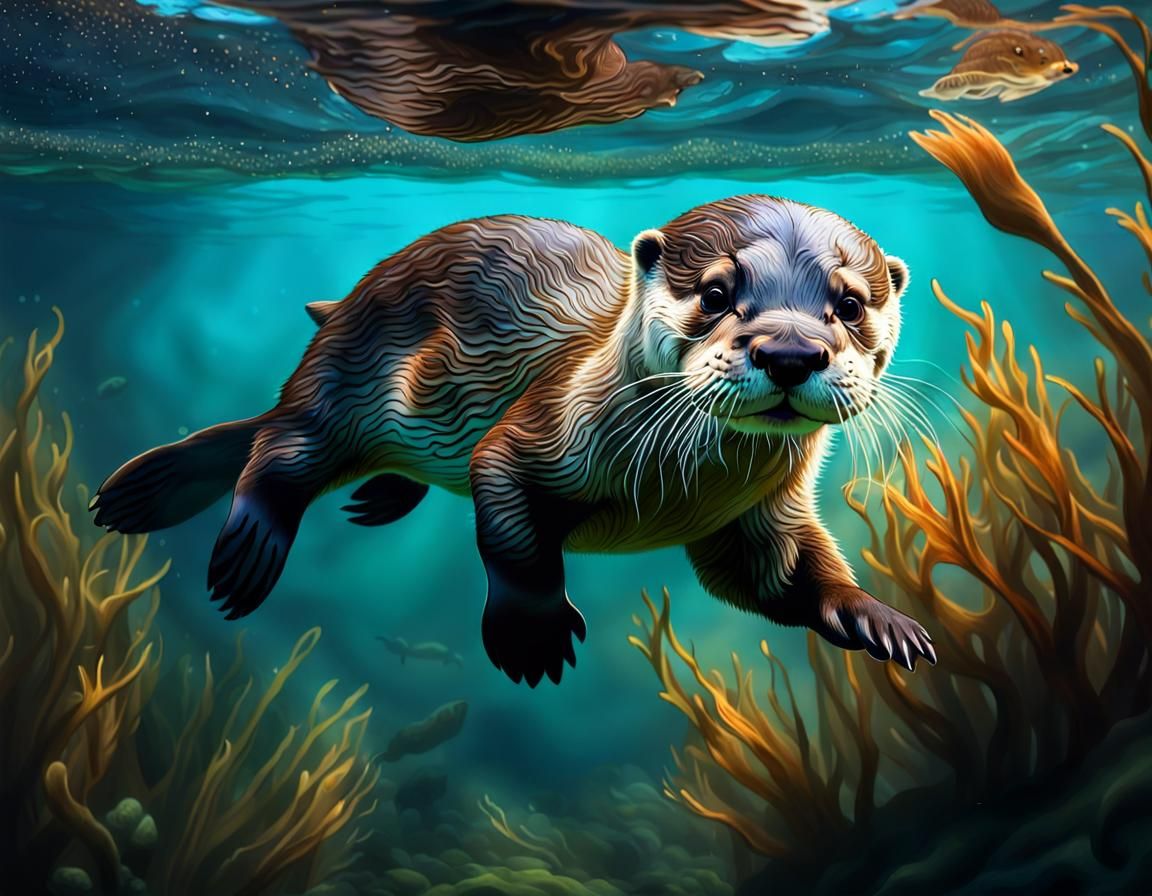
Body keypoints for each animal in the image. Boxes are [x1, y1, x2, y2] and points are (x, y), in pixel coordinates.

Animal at [92, 196, 936, 686]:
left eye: (850, 304)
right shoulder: (536, 434)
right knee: (275, 447)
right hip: (345, 380)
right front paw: (531, 633)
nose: (790, 352)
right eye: (716, 293)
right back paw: (247, 546)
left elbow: (784, 572)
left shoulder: (758, 515)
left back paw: (380, 497)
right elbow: (512, 533)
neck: (684, 487)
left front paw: (877, 617)